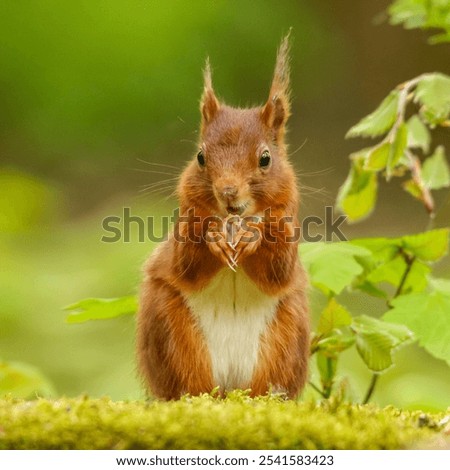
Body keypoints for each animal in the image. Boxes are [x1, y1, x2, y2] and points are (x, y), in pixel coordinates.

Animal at [137, 34, 312, 400]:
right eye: (200, 157)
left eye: (265, 158)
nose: (228, 191)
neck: (235, 219)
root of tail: (231, 386)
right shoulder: (186, 220)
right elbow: (187, 264)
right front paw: (213, 238)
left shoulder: (287, 220)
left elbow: (278, 269)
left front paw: (252, 237)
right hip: (170, 328)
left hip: (287, 334)